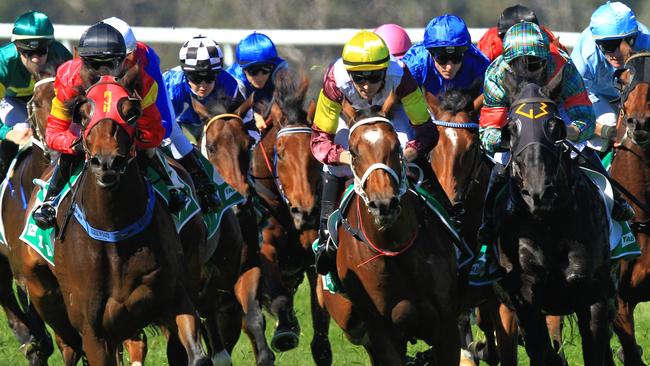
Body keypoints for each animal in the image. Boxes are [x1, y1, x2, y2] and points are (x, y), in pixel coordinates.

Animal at [20, 69, 210, 366]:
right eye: (82, 114)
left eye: (131, 113)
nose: (107, 162)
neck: (113, 230)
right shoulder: (94, 333)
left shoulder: (176, 299)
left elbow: (196, 354)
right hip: (43, 293)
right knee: (68, 345)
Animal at [246, 70, 332, 364]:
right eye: (281, 152)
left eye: (314, 154)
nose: (305, 211)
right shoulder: (265, 247)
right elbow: (278, 296)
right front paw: (285, 330)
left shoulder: (314, 254)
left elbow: (320, 309)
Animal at [316, 104, 458, 364]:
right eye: (353, 152)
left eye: (396, 146)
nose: (384, 205)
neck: (395, 249)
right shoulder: (381, 334)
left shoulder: (446, 323)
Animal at [492, 63, 612, 366]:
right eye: (511, 129)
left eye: (555, 126)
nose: (537, 193)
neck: (549, 224)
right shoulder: (525, 296)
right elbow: (542, 352)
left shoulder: (593, 293)